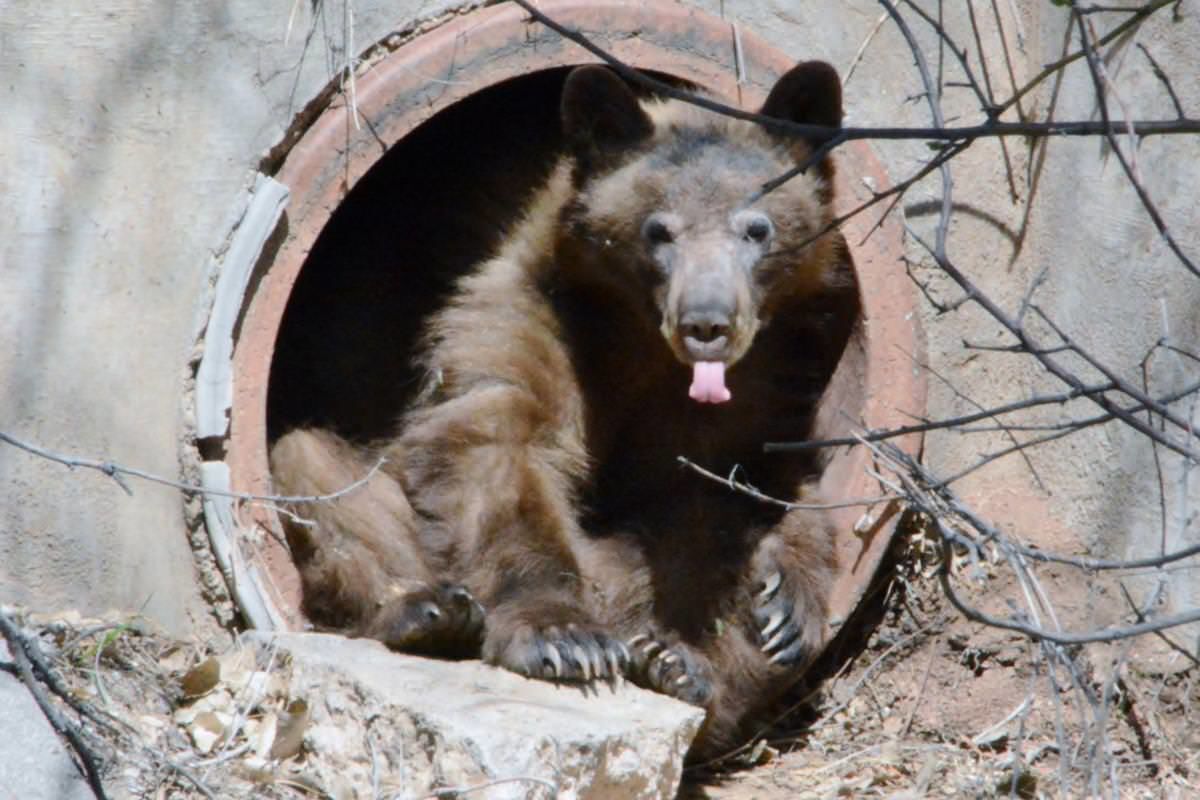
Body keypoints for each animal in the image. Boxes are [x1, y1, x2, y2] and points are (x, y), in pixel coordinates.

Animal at [269, 60, 857, 761]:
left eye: (757, 227)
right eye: (658, 230)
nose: (707, 323)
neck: (641, 345)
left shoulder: (766, 375)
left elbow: (754, 480)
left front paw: (784, 602)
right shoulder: (533, 314)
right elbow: (501, 446)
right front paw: (563, 638)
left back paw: (680, 667)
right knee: (319, 472)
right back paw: (426, 613)